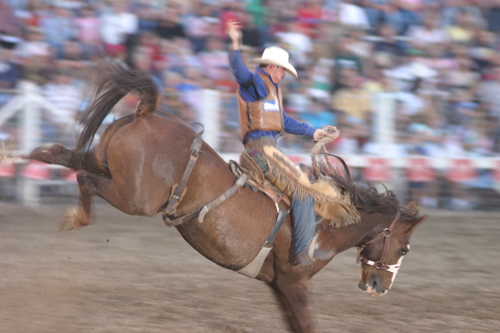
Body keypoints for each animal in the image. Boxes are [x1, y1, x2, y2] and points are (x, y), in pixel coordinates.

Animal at [28, 63, 426, 332]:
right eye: (404, 248)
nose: (379, 288)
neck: (328, 222)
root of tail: (146, 113)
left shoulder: (278, 285)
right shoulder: (294, 282)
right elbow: (307, 325)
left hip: (105, 162)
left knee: (69, 158)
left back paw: (34, 154)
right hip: (134, 197)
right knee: (86, 180)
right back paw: (76, 216)